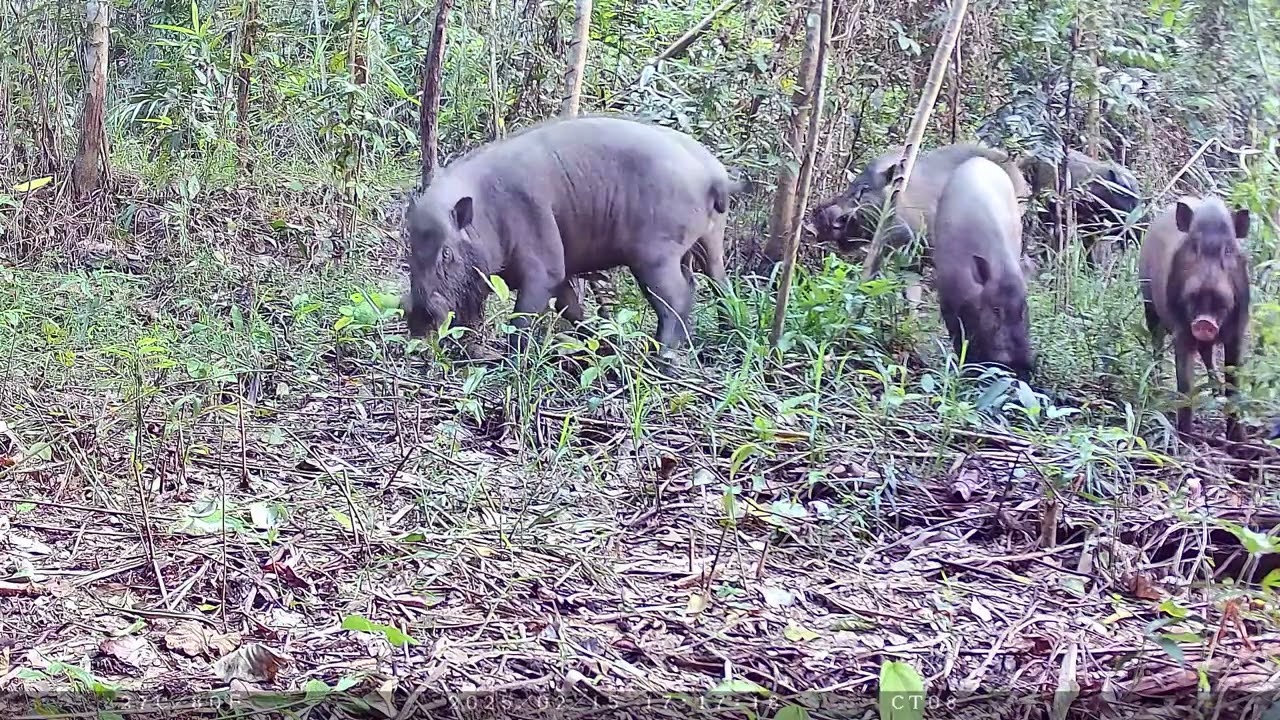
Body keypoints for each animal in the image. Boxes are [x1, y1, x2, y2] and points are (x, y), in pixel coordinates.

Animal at [401, 114, 737, 355]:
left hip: (655, 256)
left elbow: (522, 319)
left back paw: (663, 359)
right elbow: (571, 309)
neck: (486, 213)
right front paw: (602, 346)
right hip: (709, 242)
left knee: (676, 297)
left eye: (446, 253)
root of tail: (715, 175)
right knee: (718, 286)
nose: (419, 318)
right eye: (409, 250)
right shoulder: (555, 273)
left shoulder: (544, 265)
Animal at [931, 156, 1035, 380]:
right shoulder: (947, 300)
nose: (1022, 365)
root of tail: (978, 159)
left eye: (1024, 309)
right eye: (996, 309)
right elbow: (959, 337)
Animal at [1138, 195, 1250, 440]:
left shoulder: (1238, 331)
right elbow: (1185, 385)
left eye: (1228, 250)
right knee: (1156, 345)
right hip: (1148, 304)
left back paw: (1215, 390)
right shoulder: (1181, 330)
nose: (1204, 322)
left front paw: (1238, 441)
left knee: (1207, 354)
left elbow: (1234, 382)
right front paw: (1185, 439)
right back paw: (1157, 386)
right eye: (1194, 247)